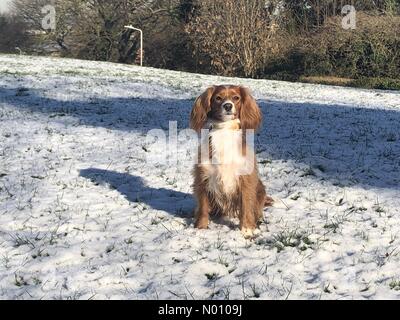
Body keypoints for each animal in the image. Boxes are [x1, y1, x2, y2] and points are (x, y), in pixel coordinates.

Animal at [190, 85, 272, 238]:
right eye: (218, 98)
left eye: (236, 98)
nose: (228, 106)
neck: (224, 130)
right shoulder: (202, 177)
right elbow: (203, 206)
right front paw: (201, 227)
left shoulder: (245, 180)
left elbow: (246, 205)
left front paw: (246, 229)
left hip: (260, 189)